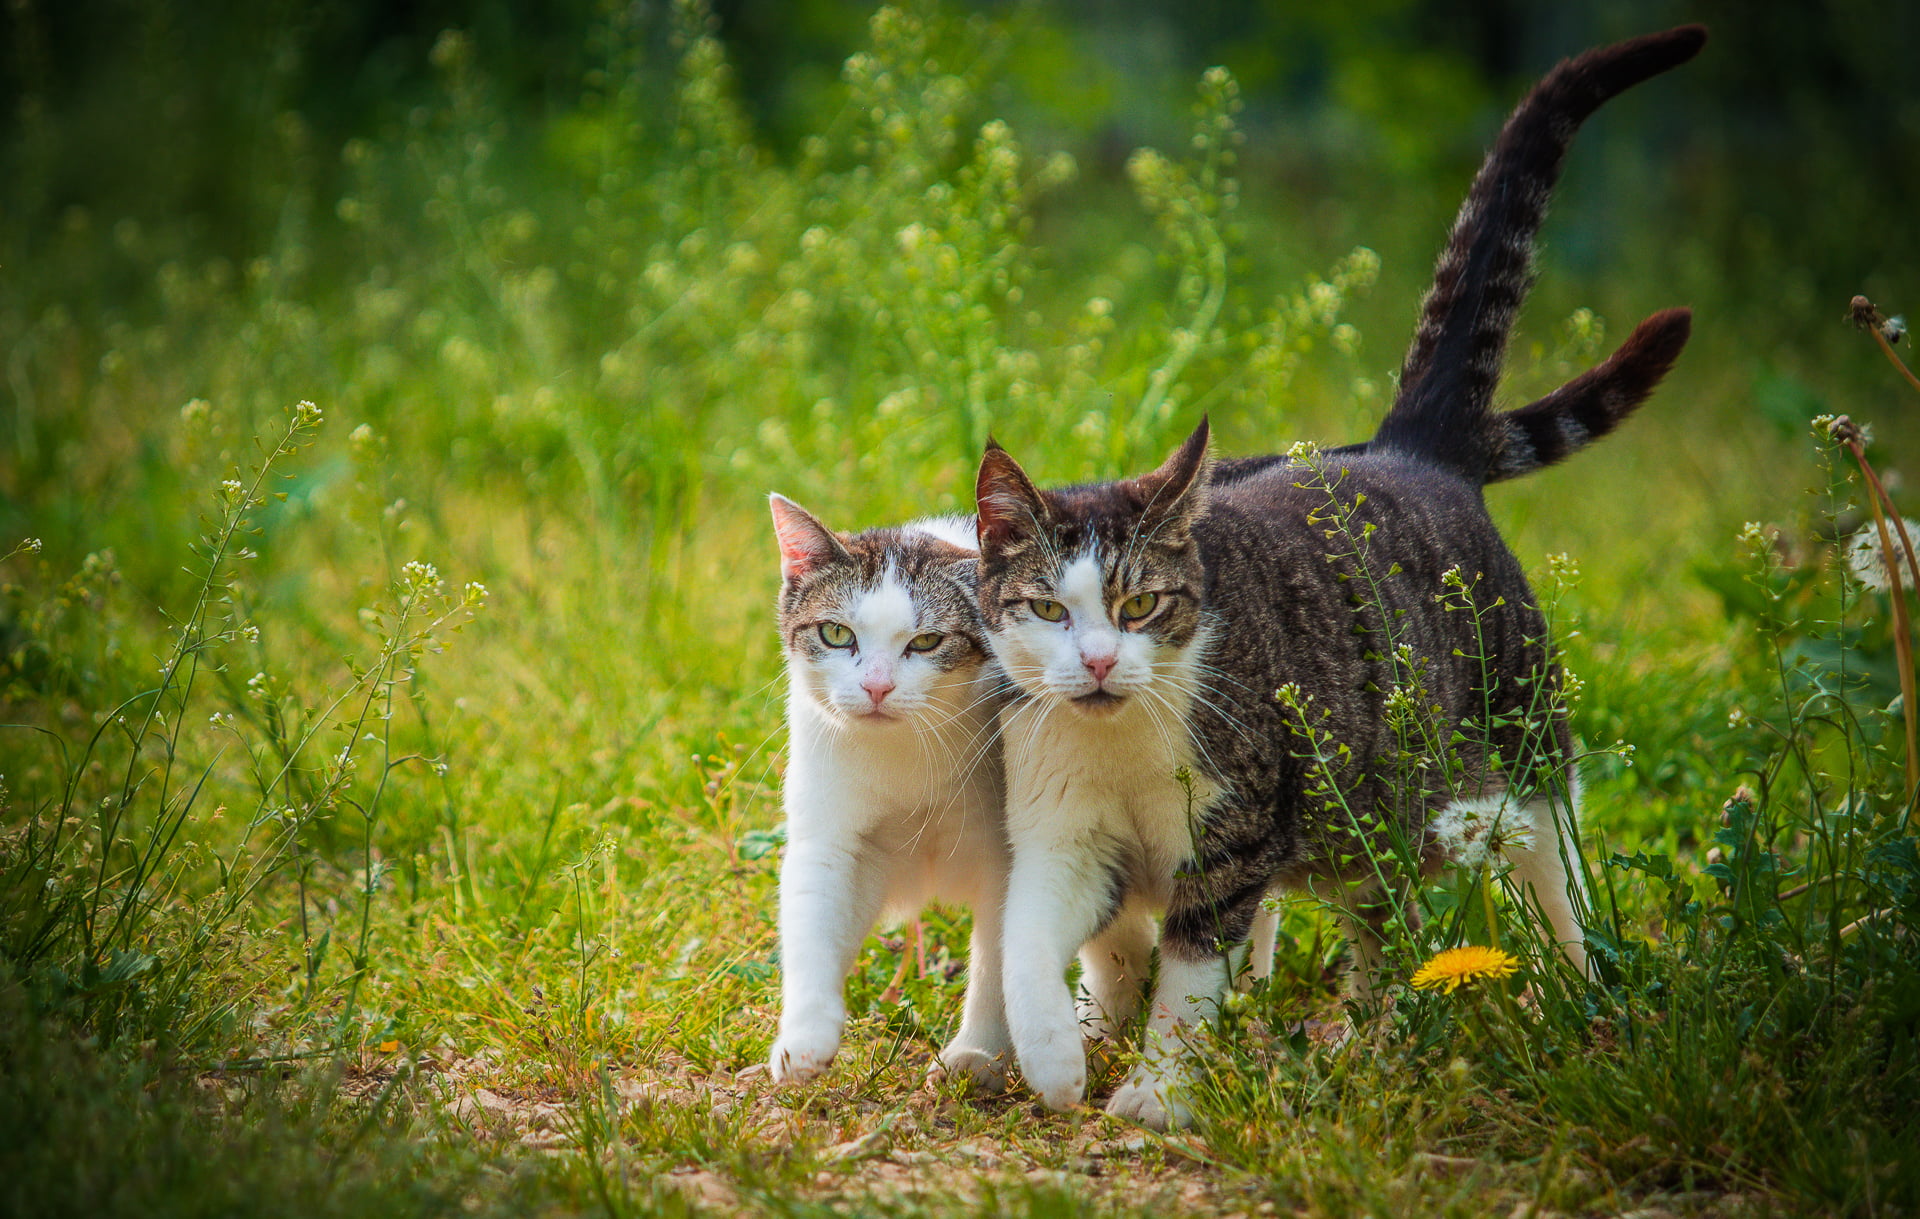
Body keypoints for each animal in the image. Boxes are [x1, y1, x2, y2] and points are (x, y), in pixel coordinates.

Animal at [760, 495, 1013, 1090]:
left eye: (926, 641)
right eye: (836, 634)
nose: (876, 686)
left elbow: (1001, 960)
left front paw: (980, 1054)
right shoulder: (830, 835)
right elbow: (812, 919)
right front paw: (804, 1038)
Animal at [975, 23, 1712, 1128]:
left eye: (1141, 602)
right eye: (1044, 608)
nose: (1101, 663)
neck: (1120, 754)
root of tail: (1410, 448)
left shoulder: (1235, 834)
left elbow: (1190, 970)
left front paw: (1158, 1089)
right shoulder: (1067, 832)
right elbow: (1046, 939)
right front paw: (1064, 1050)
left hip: (1514, 738)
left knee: (1547, 870)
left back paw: (1545, 1005)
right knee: (1353, 917)